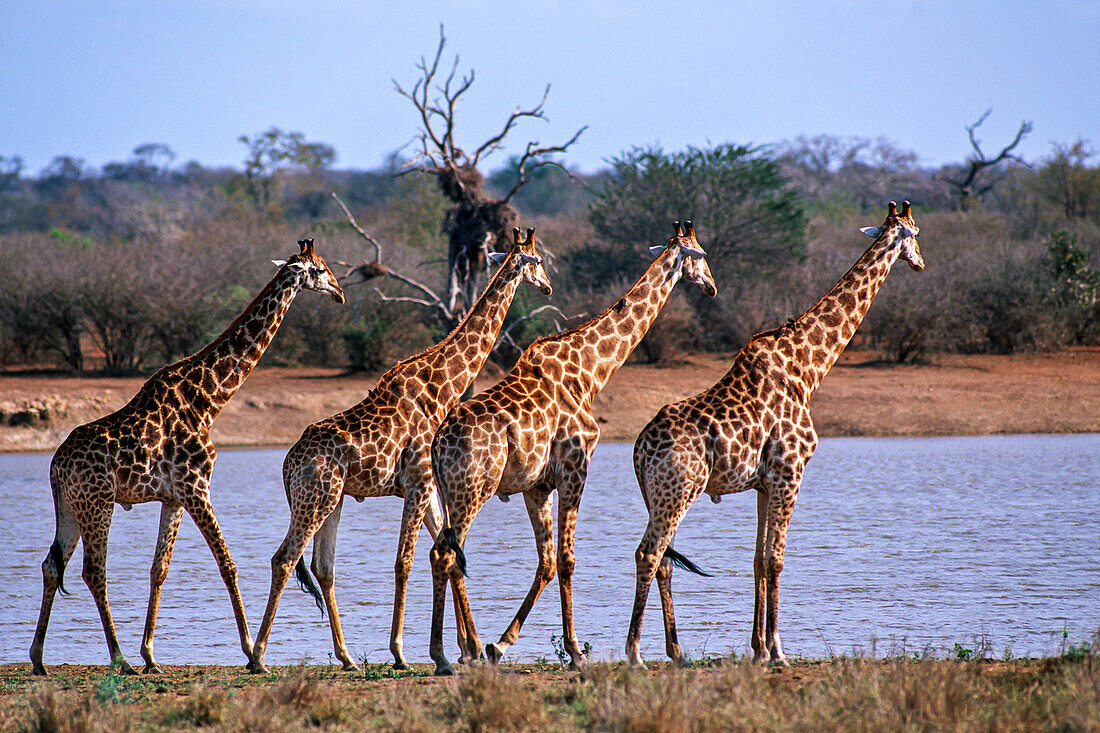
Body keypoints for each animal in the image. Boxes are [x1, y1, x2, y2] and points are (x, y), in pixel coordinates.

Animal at [29, 238, 343, 673]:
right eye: (321, 269)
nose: (340, 294)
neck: (209, 399)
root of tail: (55, 465)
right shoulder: (197, 487)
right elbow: (228, 564)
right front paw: (251, 650)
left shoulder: (174, 497)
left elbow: (159, 569)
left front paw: (151, 654)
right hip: (98, 502)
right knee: (93, 572)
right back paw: (119, 659)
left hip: (71, 506)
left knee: (51, 565)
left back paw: (39, 658)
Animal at [251, 225, 554, 669]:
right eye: (539, 261)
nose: (548, 286)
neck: (443, 385)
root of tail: (288, 464)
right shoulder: (419, 482)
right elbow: (405, 561)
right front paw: (402, 651)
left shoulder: (425, 488)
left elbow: (445, 554)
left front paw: (468, 648)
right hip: (313, 500)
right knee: (284, 558)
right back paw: (257, 656)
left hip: (331, 500)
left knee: (323, 566)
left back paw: (346, 656)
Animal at [424, 217, 717, 673]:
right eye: (700, 255)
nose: (712, 287)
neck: (592, 370)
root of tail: (438, 443)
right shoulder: (577, 467)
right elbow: (567, 559)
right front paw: (576, 651)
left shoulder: (537, 485)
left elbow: (546, 561)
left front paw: (500, 645)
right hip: (472, 489)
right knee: (447, 555)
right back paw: (447, 654)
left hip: (453, 491)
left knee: (445, 554)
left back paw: (461, 650)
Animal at [624, 201, 924, 669]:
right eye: (916, 233)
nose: (921, 263)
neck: (809, 367)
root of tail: (638, 450)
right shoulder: (790, 471)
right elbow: (778, 559)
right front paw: (779, 650)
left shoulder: (764, 483)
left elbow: (758, 560)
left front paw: (759, 648)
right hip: (679, 490)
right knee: (649, 553)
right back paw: (636, 653)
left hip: (660, 495)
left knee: (664, 559)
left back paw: (677, 652)